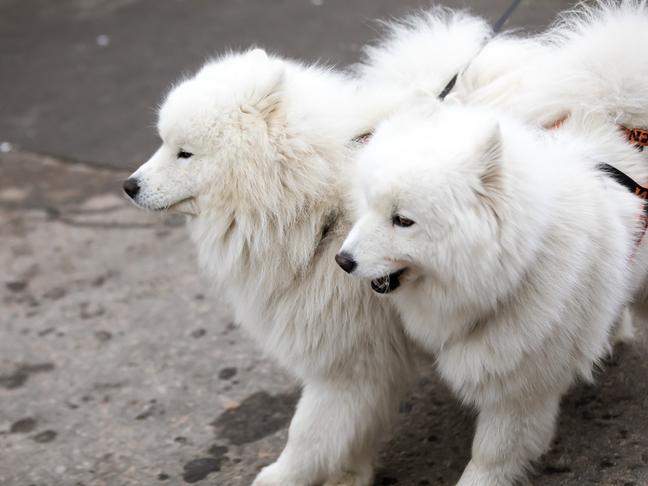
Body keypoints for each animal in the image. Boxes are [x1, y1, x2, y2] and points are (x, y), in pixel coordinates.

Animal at [120, 9, 486, 484]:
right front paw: (350, 474)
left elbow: (307, 434)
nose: (128, 185)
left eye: (184, 153)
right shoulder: (368, 356)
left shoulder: (348, 356)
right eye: (163, 143)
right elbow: (347, 432)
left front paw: (279, 476)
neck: (316, 205)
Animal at [336, 100, 648, 484]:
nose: (342, 260)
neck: (518, 269)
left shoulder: (521, 390)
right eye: (368, 205)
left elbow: (489, 456)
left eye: (402, 220)